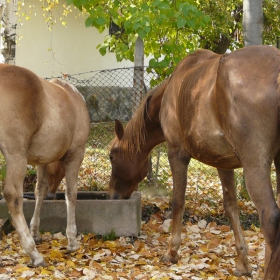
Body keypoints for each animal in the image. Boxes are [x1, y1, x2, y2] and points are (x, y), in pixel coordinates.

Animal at [0, 64, 89, 266]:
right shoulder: (76, 154)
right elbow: (71, 194)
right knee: (13, 195)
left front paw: (35, 231)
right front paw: (72, 240)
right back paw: (33, 253)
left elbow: (39, 191)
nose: (53, 194)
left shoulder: (42, 161)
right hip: (16, 156)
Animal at [110, 44, 280, 278]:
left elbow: (177, 201)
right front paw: (243, 264)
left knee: (270, 219)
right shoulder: (224, 163)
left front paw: (172, 252)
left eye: (112, 155)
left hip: (255, 165)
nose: (112, 195)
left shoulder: (177, 154)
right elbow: (231, 207)